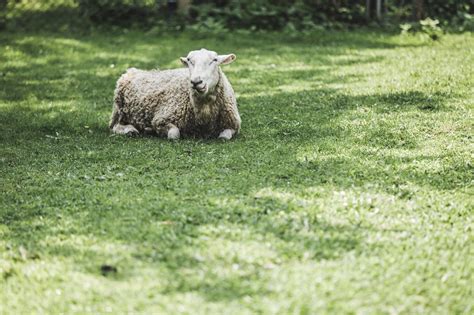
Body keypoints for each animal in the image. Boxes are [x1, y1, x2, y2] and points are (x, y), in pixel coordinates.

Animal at [108, 47, 241, 139]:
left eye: (214, 60)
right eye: (189, 60)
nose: (196, 82)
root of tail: (131, 71)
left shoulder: (233, 125)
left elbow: (224, 137)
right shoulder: (161, 120)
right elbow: (174, 135)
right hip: (120, 110)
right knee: (115, 126)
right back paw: (130, 130)